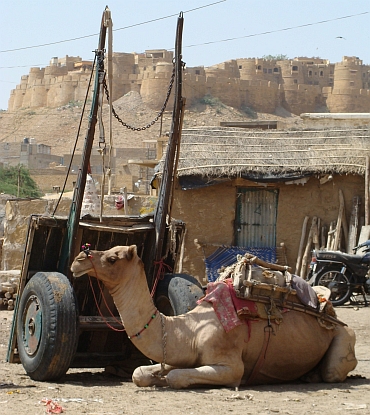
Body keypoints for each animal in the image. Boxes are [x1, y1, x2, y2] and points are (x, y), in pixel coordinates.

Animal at [71, 245, 356, 388]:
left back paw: (312, 376)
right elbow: (139, 372)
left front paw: (164, 379)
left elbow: (176, 377)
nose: (78, 259)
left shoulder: (229, 364)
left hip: (343, 338)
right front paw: (153, 376)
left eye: (112, 258)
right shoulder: (181, 355)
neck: (188, 331)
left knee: (333, 371)